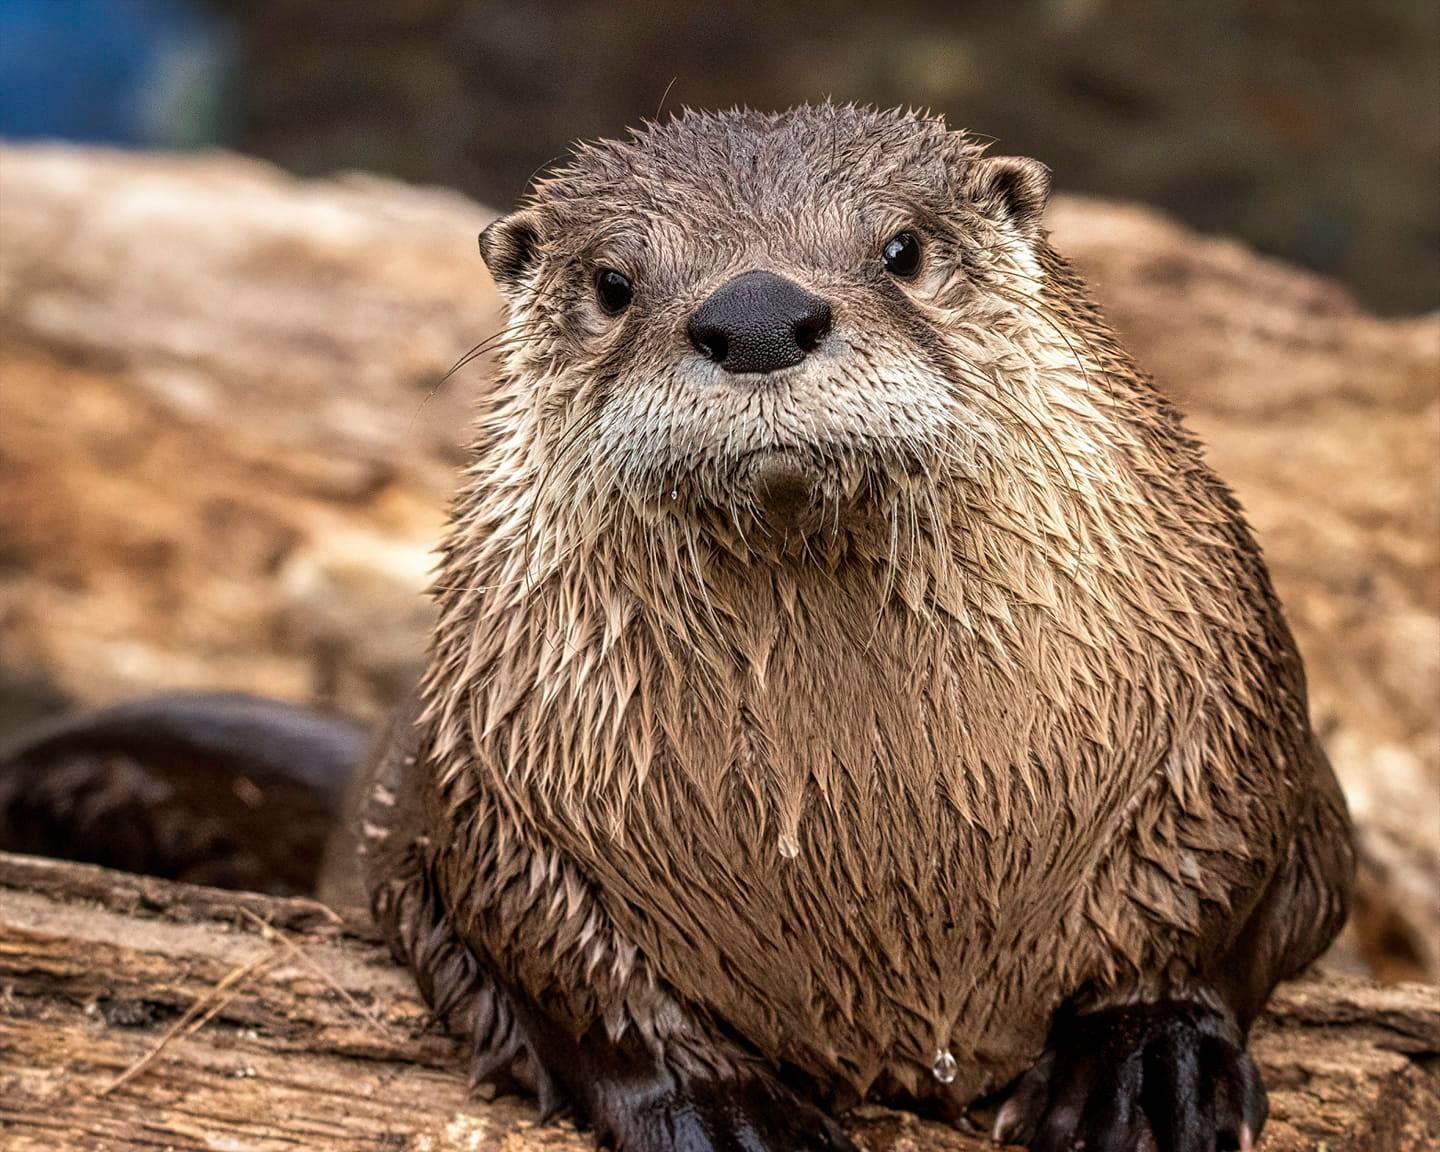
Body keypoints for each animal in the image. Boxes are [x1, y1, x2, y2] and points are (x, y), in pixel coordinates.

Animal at [2, 103, 1347, 1146]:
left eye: (903, 247)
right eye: (612, 284)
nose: (753, 314)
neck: (884, 847)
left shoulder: (1239, 722)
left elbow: (1230, 883)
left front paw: (1143, 1051)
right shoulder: (479, 802)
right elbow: (552, 959)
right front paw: (717, 1106)